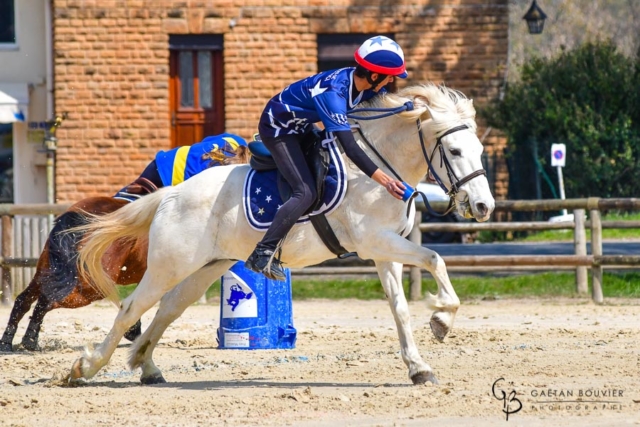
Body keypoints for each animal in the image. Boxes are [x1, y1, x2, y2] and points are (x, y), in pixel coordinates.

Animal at [0, 145, 250, 352]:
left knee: (23, 299)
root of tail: (78, 216)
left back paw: (7, 342)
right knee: (46, 301)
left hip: (49, 271)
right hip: (87, 286)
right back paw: (30, 340)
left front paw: (133, 331)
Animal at [74, 83, 496, 388]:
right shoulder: (376, 242)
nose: (483, 207)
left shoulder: (385, 252)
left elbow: (401, 308)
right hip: (169, 266)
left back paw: (146, 366)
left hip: (207, 267)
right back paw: (85, 367)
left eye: (479, 149)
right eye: (454, 151)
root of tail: (172, 193)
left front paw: (419, 366)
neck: (379, 166)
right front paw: (441, 320)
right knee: (133, 308)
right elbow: (435, 259)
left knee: (168, 308)